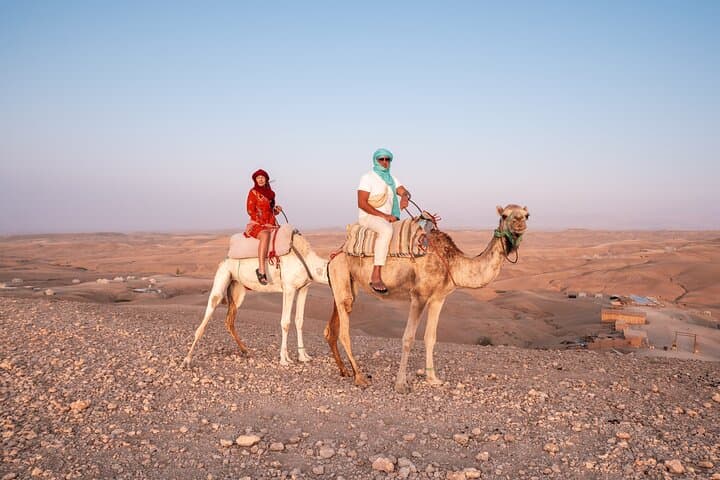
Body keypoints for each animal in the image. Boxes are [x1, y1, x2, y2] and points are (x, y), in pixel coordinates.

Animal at [183, 231, 328, 367]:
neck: (307, 260)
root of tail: (226, 257)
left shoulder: (303, 288)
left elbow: (299, 321)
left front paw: (304, 357)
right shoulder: (289, 288)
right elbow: (285, 322)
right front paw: (284, 359)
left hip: (237, 288)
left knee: (229, 320)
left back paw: (245, 350)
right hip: (223, 274)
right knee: (212, 304)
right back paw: (187, 359)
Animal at [324, 204, 529, 393]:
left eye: (527, 214)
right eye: (505, 215)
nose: (520, 223)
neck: (452, 262)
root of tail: (336, 253)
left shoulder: (438, 298)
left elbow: (431, 337)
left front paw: (433, 379)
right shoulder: (419, 295)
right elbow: (408, 338)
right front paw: (401, 385)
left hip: (344, 283)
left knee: (332, 328)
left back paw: (345, 371)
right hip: (341, 272)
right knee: (344, 330)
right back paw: (359, 377)